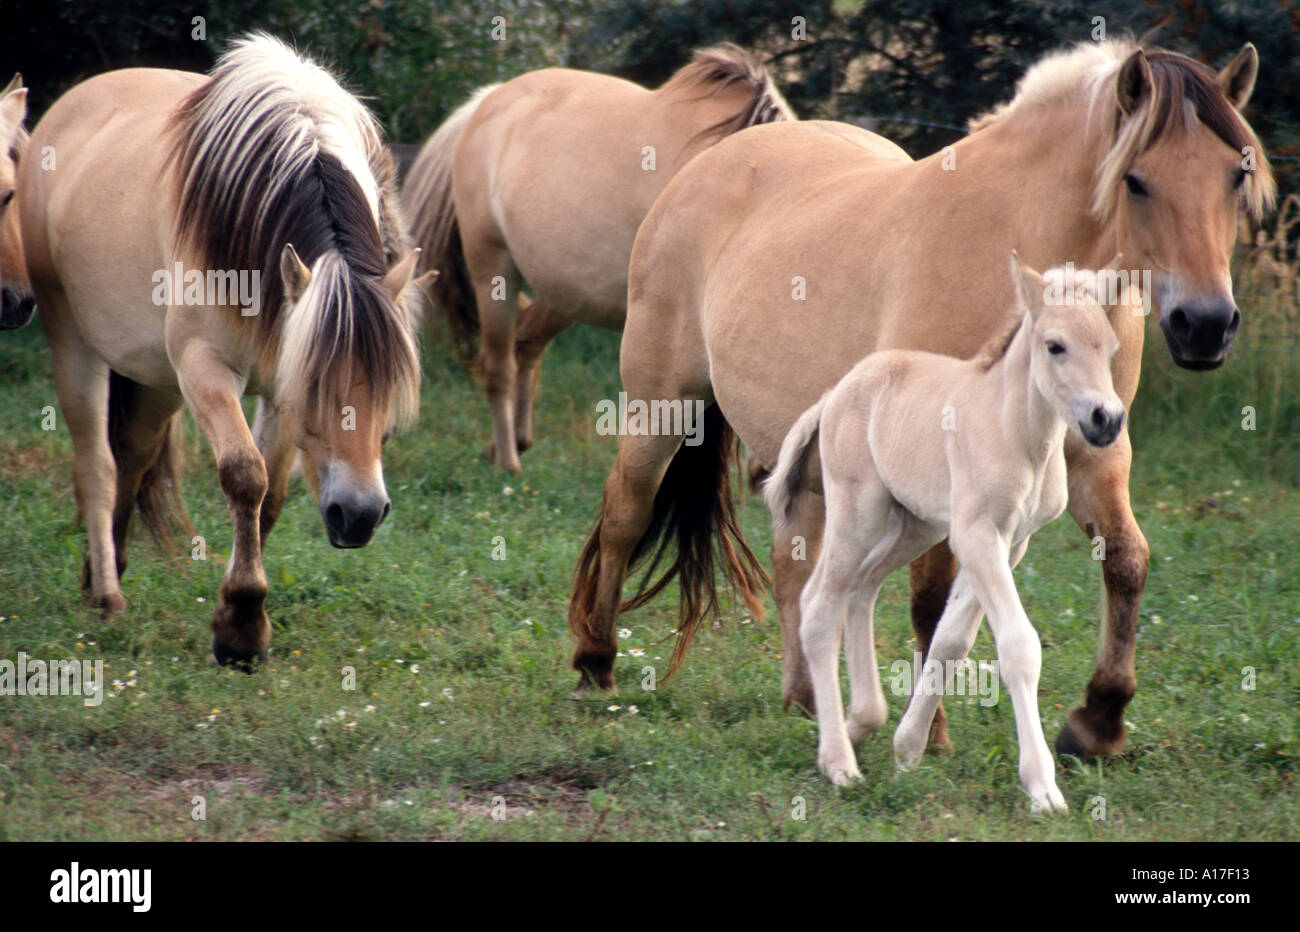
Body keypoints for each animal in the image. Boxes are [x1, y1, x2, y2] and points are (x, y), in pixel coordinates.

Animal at [19, 32, 426, 665]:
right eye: (316, 384)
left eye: (388, 389)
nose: (359, 515)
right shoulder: (206, 369)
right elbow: (245, 477)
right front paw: (241, 625)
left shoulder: (273, 382)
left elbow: (272, 495)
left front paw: (235, 616)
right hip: (75, 343)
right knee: (98, 465)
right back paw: (107, 597)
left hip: (154, 376)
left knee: (133, 457)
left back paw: (102, 570)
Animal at [403, 44, 790, 467]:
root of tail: (488, 99)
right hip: (493, 268)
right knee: (499, 364)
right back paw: (508, 460)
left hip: (568, 291)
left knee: (527, 341)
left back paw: (513, 442)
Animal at [764, 252, 1123, 805]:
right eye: (1055, 346)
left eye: (1110, 347)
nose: (1107, 419)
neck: (1020, 437)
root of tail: (835, 392)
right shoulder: (977, 535)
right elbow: (1018, 645)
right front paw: (1042, 786)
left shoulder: (1010, 542)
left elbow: (951, 640)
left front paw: (908, 748)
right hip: (859, 512)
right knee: (820, 604)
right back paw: (839, 762)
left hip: (916, 526)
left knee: (862, 587)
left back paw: (860, 721)